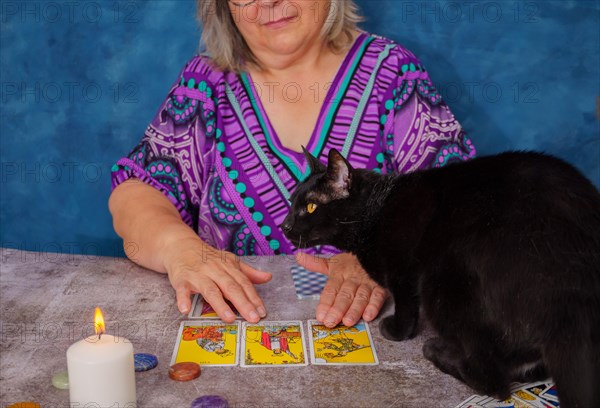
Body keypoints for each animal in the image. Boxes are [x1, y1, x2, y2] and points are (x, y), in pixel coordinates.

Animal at [282, 147, 600, 408]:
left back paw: (437, 351)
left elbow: (406, 305)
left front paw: (396, 330)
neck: (376, 208)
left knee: (493, 382)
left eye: (310, 207)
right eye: (292, 202)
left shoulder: (403, 269)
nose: (284, 225)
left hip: (442, 279)